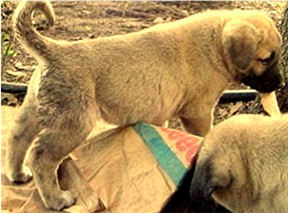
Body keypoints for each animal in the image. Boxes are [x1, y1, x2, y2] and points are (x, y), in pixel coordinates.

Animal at [6, 0, 284, 211]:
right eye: (266, 58)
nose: (280, 84)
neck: (215, 44)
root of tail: (54, 50)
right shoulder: (198, 112)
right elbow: (205, 134)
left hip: (36, 109)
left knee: (17, 138)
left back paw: (16, 174)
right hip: (74, 123)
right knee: (40, 156)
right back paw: (56, 198)